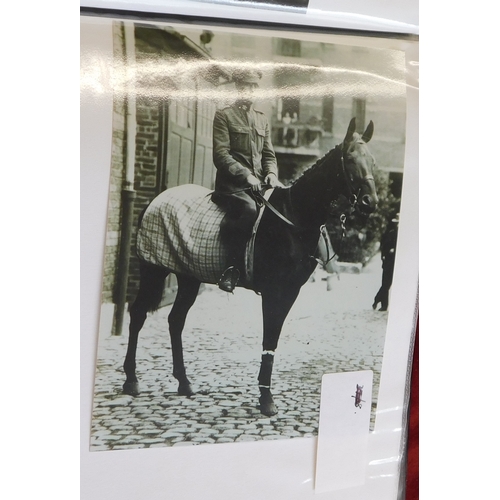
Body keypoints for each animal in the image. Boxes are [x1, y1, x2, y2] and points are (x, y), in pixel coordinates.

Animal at [123, 116, 376, 414]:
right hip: (154, 269)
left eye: (371, 160)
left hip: (188, 277)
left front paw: (264, 393)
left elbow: (273, 339)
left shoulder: (290, 292)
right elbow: (269, 337)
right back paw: (131, 380)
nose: (371, 202)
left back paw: (184, 382)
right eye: (350, 158)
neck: (293, 217)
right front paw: (266, 398)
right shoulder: (273, 291)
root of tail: (155, 201)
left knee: (176, 320)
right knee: (138, 313)